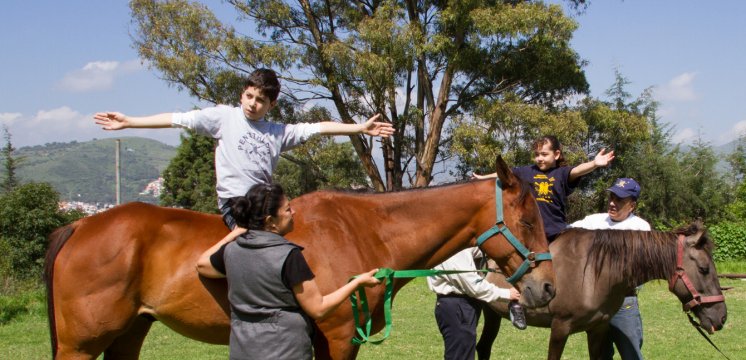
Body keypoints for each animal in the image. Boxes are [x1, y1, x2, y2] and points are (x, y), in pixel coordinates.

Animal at [42, 156, 552, 358]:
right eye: (528, 221)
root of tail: (80, 224)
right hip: (80, 345)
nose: (546, 287)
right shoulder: (339, 338)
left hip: (128, 334)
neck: (361, 231)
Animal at [476, 222, 728, 360]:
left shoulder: (598, 328)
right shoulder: (560, 327)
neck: (591, 273)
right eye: (704, 269)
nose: (722, 317)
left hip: (492, 314)